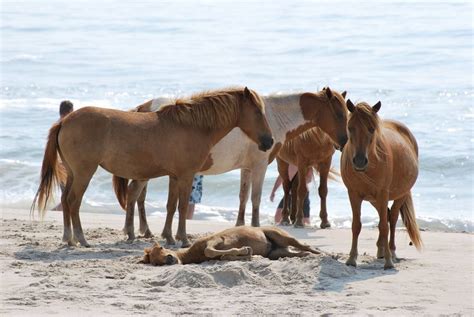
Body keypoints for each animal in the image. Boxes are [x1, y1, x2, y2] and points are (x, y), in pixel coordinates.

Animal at [33, 87, 274, 247]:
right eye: (258, 112)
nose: (269, 142)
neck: (192, 126)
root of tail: (65, 121)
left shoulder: (175, 176)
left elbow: (171, 206)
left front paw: (169, 236)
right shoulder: (186, 176)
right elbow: (182, 207)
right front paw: (183, 239)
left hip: (73, 173)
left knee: (65, 201)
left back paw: (69, 238)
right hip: (84, 172)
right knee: (74, 202)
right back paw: (81, 239)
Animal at [112, 86, 348, 239]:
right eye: (338, 114)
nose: (344, 141)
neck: (272, 117)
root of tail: (144, 107)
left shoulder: (246, 167)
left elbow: (243, 197)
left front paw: (240, 226)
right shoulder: (259, 166)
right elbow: (255, 199)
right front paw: (255, 227)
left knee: (137, 196)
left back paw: (142, 231)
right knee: (135, 194)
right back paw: (135, 231)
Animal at [340, 100, 422, 268]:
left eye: (372, 129)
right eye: (350, 128)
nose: (359, 161)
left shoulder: (383, 193)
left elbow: (384, 226)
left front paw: (389, 262)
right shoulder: (353, 194)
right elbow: (356, 225)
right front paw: (351, 258)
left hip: (400, 195)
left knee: (392, 218)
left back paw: (392, 252)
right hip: (374, 200)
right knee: (386, 216)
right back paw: (381, 250)